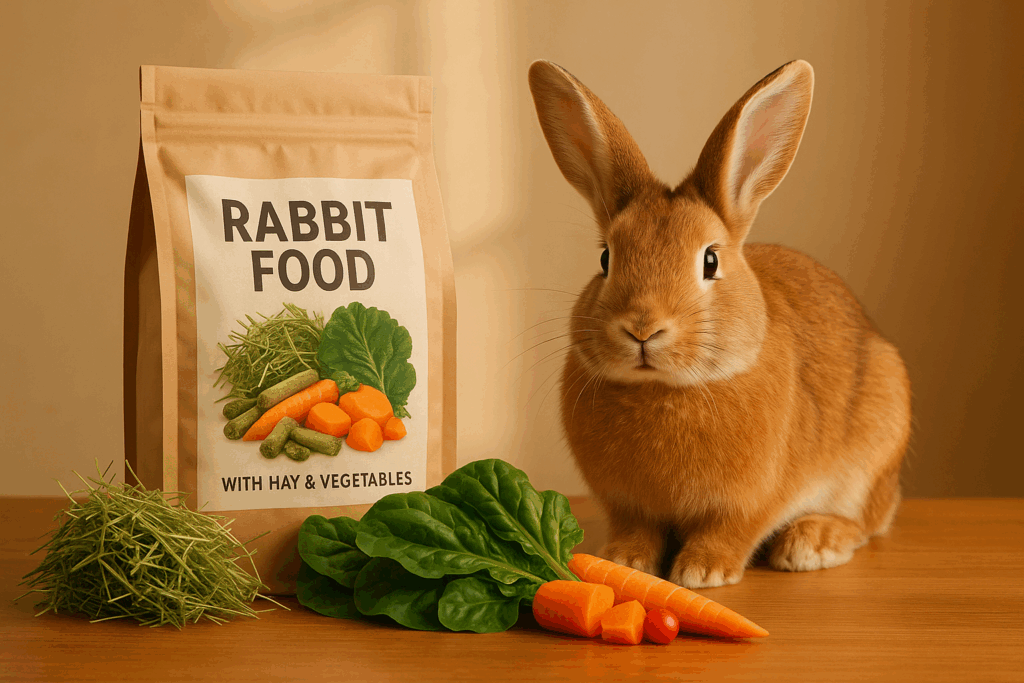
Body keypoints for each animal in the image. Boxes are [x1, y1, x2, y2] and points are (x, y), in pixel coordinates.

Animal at [528, 59, 911, 589]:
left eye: (710, 261)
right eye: (606, 259)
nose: (643, 329)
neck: (664, 390)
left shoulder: (753, 501)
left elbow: (731, 530)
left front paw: (702, 572)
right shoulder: (628, 505)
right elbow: (637, 530)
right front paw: (624, 561)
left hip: (872, 453)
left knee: (867, 521)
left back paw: (811, 543)